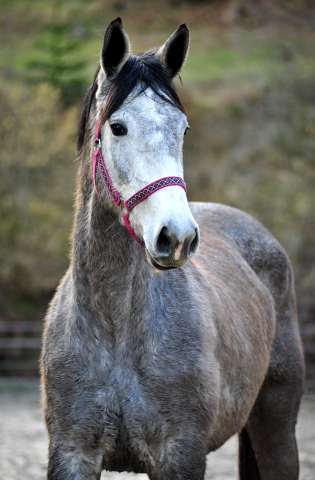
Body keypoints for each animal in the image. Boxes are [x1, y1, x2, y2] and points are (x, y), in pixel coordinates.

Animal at [40, 16, 304, 480]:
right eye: (118, 127)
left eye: (183, 129)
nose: (177, 236)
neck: (117, 333)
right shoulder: (71, 454)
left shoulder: (180, 454)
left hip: (276, 424)